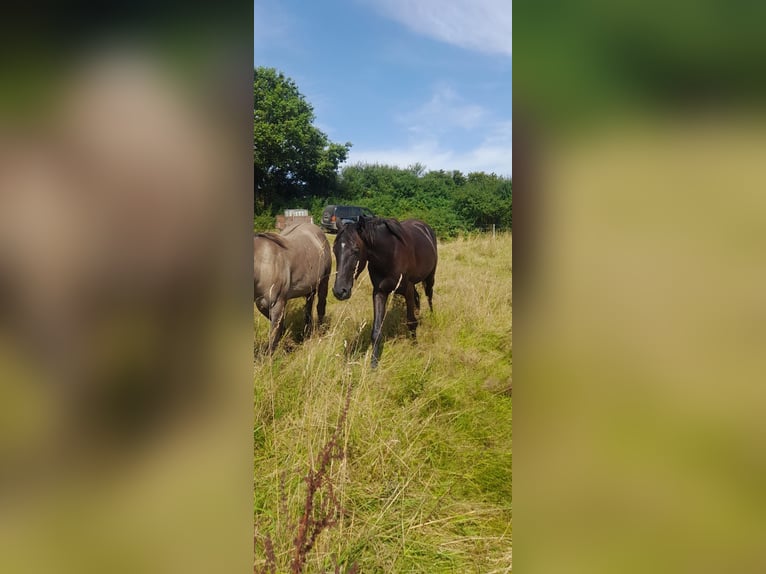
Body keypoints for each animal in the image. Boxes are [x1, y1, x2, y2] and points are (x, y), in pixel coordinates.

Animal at [255, 223, 332, 354]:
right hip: (309, 287)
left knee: (320, 306)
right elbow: (279, 327)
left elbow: (273, 334)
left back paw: (319, 332)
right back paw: (307, 331)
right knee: (309, 307)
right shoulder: (261, 304)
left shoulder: (277, 303)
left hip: (324, 281)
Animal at [334, 216, 438, 368]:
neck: (391, 255)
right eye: (334, 250)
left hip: (430, 277)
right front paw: (373, 364)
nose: (339, 291)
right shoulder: (379, 292)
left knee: (429, 296)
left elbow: (411, 322)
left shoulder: (407, 290)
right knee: (418, 298)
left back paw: (431, 316)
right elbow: (376, 331)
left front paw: (415, 347)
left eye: (356, 249)